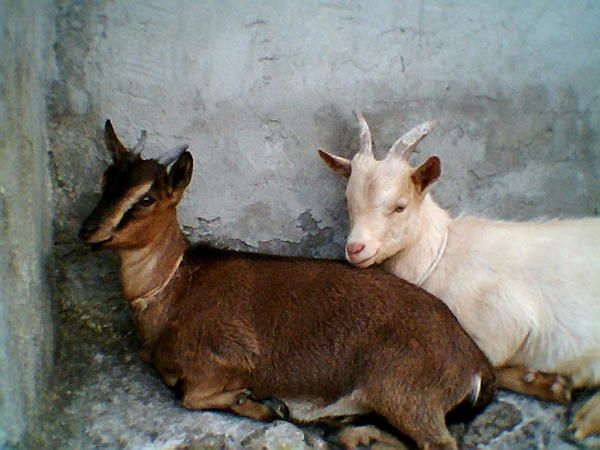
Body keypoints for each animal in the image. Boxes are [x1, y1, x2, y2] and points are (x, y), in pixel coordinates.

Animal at [77, 120, 494, 450]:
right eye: (105, 180)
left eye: (146, 197)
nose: (89, 230)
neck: (175, 289)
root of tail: (475, 364)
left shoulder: (228, 358)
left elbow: (191, 396)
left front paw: (258, 403)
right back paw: (349, 429)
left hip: (402, 390)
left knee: (438, 443)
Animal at [322, 110, 600, 442]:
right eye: (348, 201)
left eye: (400, 206)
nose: (356, 248)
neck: (441, 255)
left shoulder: (505, 322)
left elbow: (486, 364)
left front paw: (550, 383)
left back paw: (585, 419)